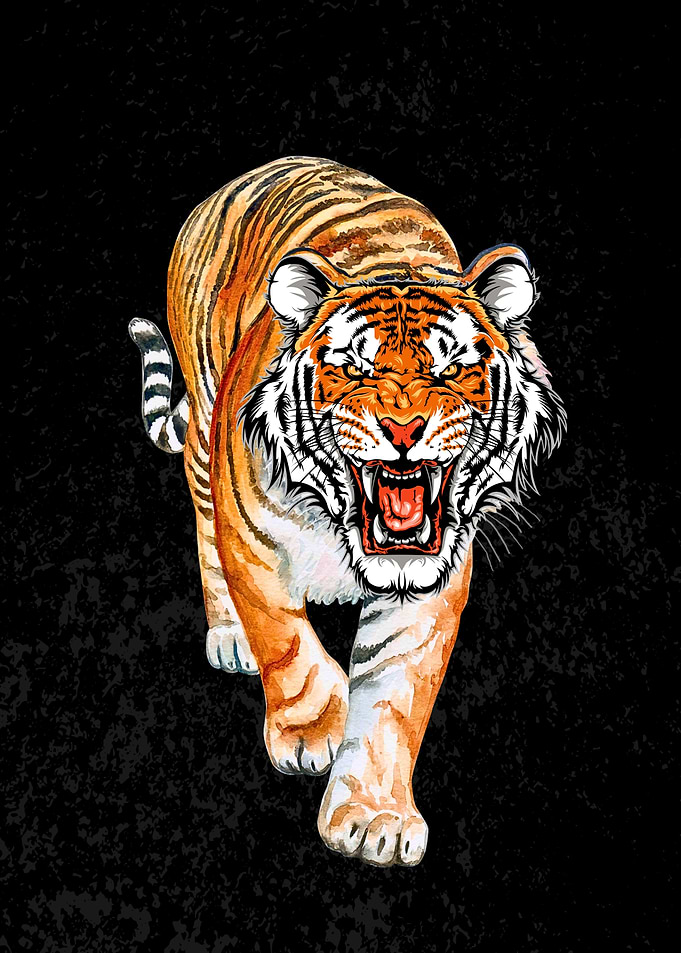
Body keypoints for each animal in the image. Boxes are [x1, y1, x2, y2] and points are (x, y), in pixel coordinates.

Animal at [129, 156, 565, 867]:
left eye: (451, 365)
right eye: (355, 366)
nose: (404, 429)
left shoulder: (434, 582)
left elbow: (394, 696)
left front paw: (375, 819)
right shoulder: (253, 538)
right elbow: (287, 644)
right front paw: (313, 732)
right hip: (204, 432)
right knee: (203, 527)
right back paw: (229, 639)